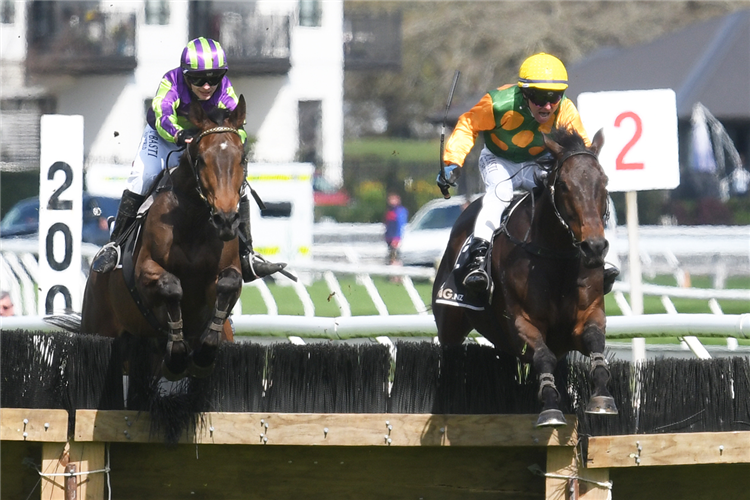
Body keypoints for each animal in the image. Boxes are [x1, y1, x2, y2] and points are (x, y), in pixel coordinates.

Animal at [81, 96, 250, 378]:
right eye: (201, 159)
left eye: (242, 158)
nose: (225, 219)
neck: (194, 221)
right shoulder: (145, 269)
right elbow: (171, 286)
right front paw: (178, 356)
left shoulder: (228, 270)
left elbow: (229, 284)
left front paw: (203, 353)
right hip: (99, 327)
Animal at [434, 128, 616, 426]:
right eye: (563, 185)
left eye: (604, 182)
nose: (594, 247)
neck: (557, 258)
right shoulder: (521, 323)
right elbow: (543, 356)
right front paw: (551, 407)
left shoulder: (588, 314)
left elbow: (594, 340)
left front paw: (602, 397)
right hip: (450, 321)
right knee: (448, 353)